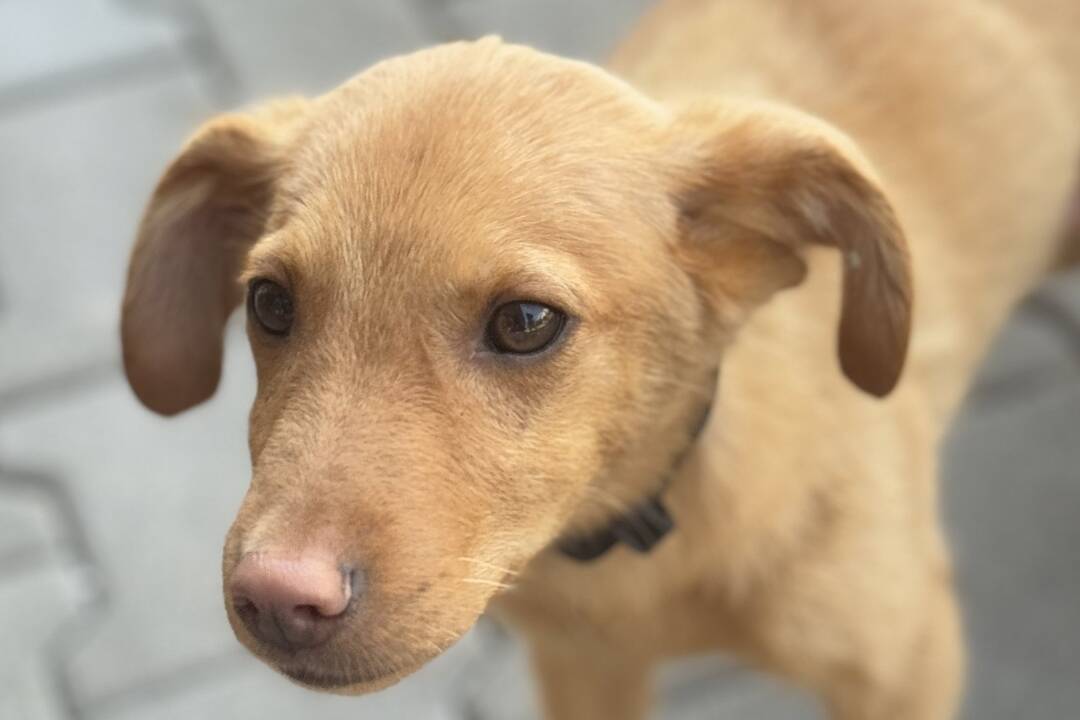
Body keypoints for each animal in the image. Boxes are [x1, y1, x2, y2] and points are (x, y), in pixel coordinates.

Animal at [118, 1, 1080, 720]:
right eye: (269, 304)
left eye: (526, 322)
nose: (280, 597)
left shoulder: (907, 662)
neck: (644, 541)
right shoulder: (584, 669)